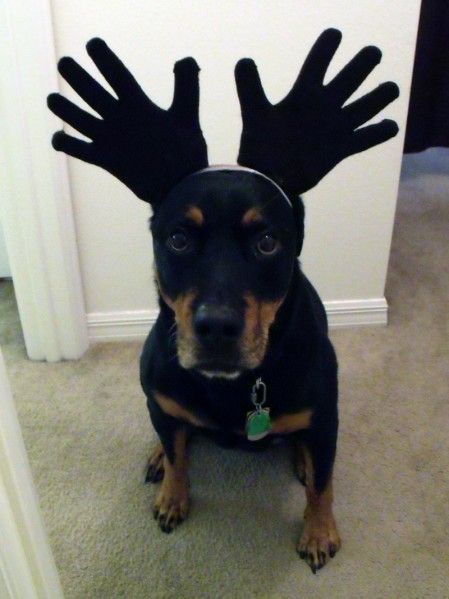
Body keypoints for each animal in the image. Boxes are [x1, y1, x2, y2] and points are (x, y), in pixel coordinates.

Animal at [140, 166, 340, 576]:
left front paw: (318, 533)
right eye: (179, 239)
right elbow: (176, 457)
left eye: (267, 242)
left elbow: (322, 485)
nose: (217, 326)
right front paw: (172, 496)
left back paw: (303, 459)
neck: (232, 385)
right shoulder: (160, 400)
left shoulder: (327, 419)